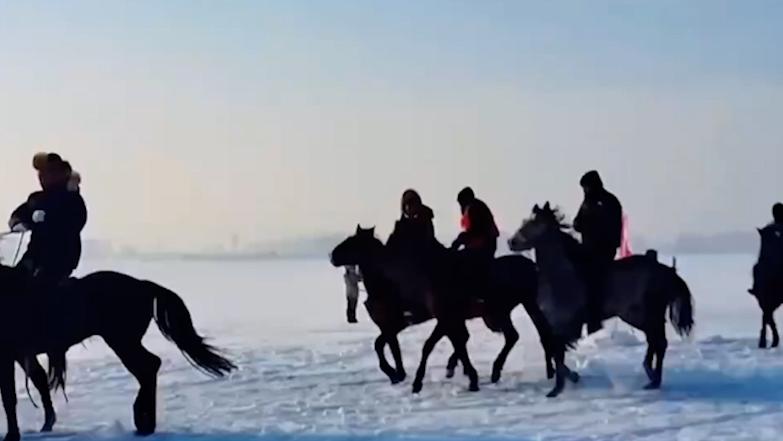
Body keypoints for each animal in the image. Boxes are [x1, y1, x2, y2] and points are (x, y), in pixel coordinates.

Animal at [0, 264, 236, 440]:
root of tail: (143, 285)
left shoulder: (7, 355)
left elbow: (9, 397)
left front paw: (13, 435)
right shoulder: (20, 354)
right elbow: (36, 381)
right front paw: (44, 425)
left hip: (122, 341)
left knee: (149, 366)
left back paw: (142, 421)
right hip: (124, 342)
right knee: (149, 367)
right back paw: (144, 422)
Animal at [512, 203, 696, 396]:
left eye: (534, 224)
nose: (512, 242)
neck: (561, 274)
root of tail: (667, 271)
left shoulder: (564, 324)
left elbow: (557, 352)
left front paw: (558, 388)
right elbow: (556, 352)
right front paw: (571, 379)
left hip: (642, 316)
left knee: (658, 342)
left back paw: (653, 378)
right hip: (649, 317)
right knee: (656, 342)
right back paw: (652, 378)